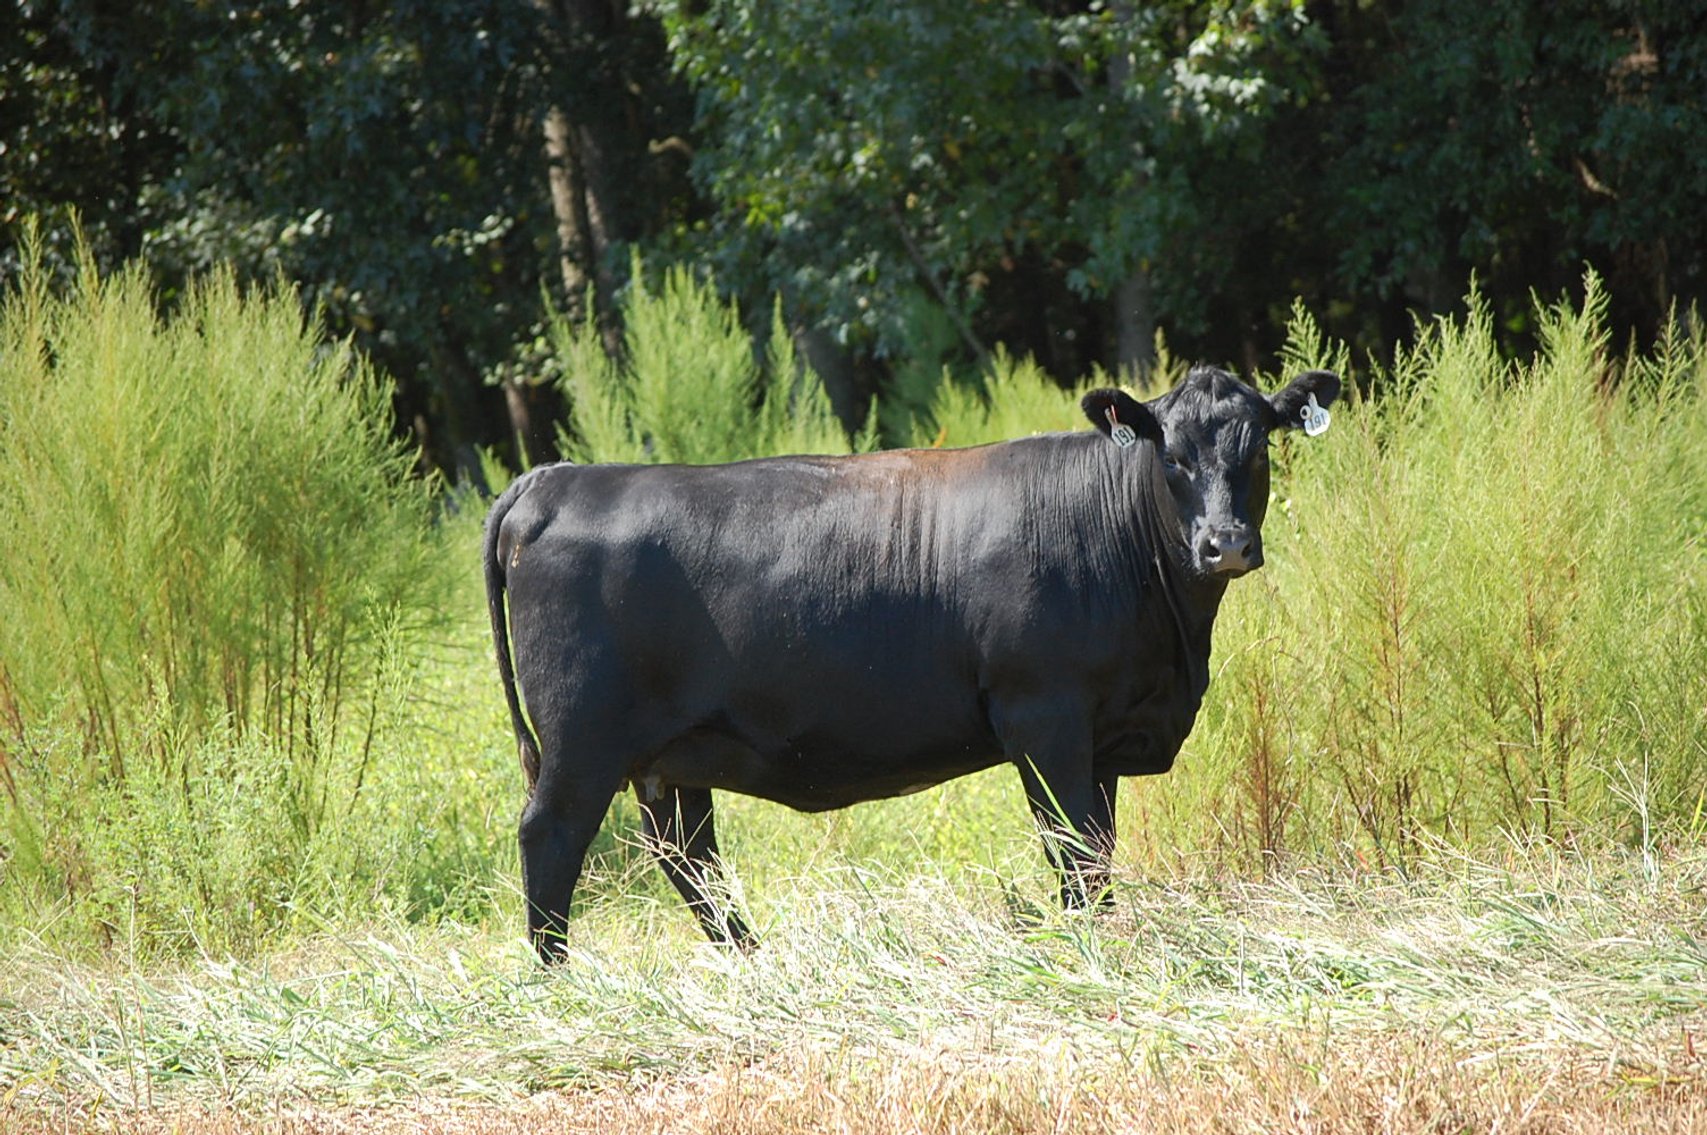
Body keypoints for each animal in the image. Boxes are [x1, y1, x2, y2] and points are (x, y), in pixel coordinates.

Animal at [484, 364, 1340, 961]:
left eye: (1256, 448)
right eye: (1173, 457)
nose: (1224, 544)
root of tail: (556, 478)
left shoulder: (1102, 734)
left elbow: (1096, 856)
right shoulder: (1044, 716)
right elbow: (1071, 853)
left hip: (669, 756)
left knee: (686, 856)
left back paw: (752, 961)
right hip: (581, 742)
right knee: (551, 839)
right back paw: (556, 979)